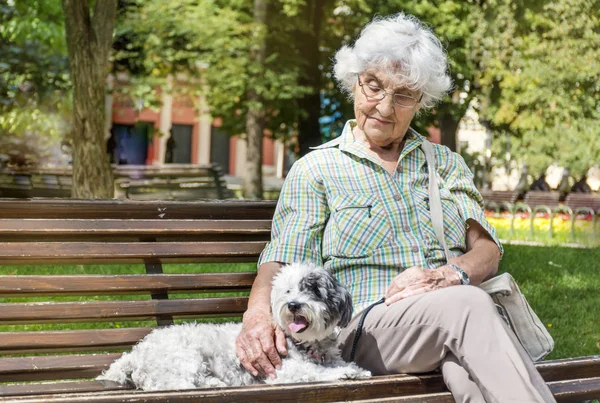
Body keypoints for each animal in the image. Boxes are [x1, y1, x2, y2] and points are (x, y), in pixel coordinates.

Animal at [98, 262, 370, 392]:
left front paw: (353, 369)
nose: (293, 305)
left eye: (313, 289)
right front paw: (346, 373)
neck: (304, 343)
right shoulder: (285, 371)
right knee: (170, 384)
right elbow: (316, 372)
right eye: (288, 291)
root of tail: (135, 354)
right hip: (184, 357)